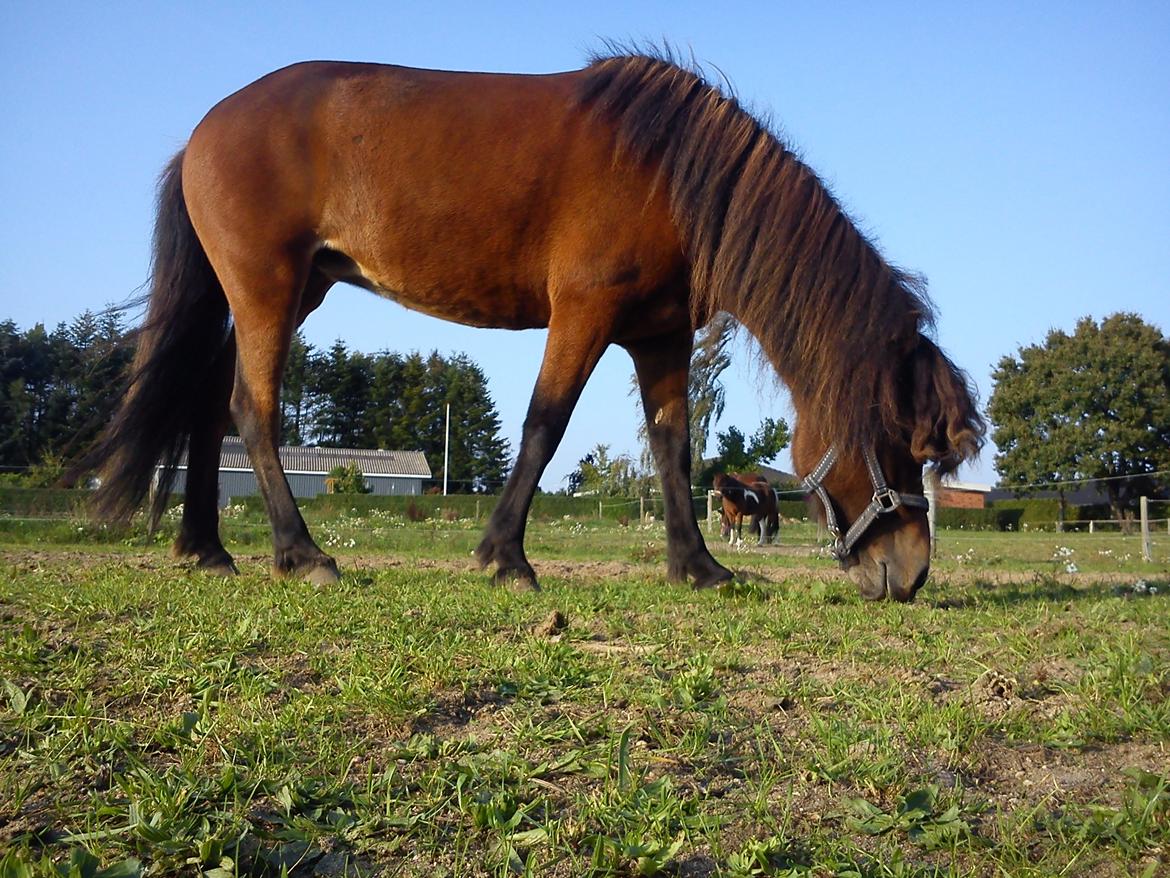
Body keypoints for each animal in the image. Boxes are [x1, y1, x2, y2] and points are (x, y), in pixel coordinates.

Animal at [82, 49, 982, 604]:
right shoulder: (583, 314)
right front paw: (504, 558)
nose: (912, 574)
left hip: (287, 293)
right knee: (251, 409)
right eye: (899, 439)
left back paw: (207, 547)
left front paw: (697, 567)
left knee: (207, 406)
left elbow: (673, 447)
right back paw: (301, 555)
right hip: (268, 291)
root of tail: (204, 130)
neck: (676, 177)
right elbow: (545, 425)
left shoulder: (658, 336)